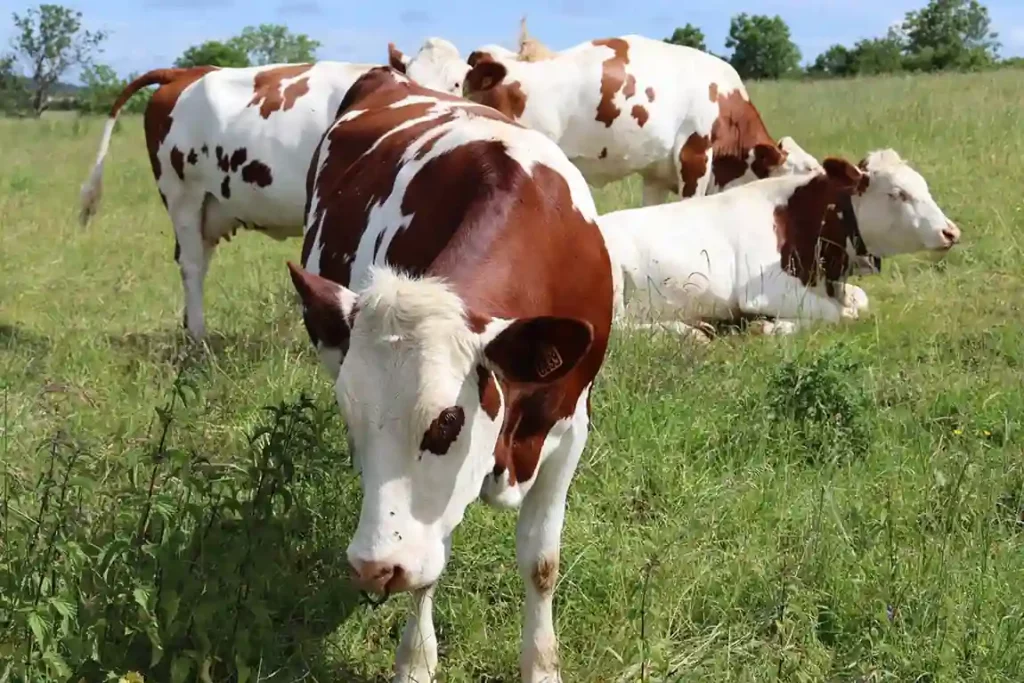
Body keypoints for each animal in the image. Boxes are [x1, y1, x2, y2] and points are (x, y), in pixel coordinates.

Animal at [284, 65, 610, 683]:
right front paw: (416, 660)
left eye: (446, 422)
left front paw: (541, 665)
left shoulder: (570, 427)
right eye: (349, 417)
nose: (372, 567)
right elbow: (428, 561)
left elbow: (541, 561)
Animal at [598, 151, 962, 339]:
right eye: (898, 193)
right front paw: (772, 327)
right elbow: (839, 314)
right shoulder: (762, 290)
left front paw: (775, 325)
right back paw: (685, 330)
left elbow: (857, 302)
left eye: (923, 186)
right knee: (618, 330)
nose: (951, 232)